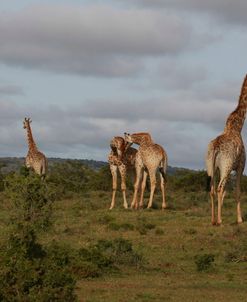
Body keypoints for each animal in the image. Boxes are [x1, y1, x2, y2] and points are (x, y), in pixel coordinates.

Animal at [206, 75, 247, 226]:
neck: (237, 127)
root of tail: (216, 147)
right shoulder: (240, 166)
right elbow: (237, 191)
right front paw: (240, 219)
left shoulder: (221, 168)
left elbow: (226, 192)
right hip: (227, 165)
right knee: (219, 188)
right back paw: (220, 221)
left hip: (211, 166)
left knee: (212, 189)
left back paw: (213, 220)